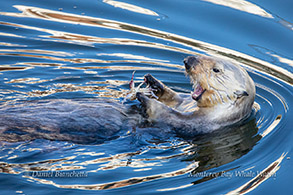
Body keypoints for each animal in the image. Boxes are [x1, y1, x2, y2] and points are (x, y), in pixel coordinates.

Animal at [0, 54, 253, 142]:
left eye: (216, 70)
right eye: (203, 55)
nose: (188, 61)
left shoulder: (202, 126)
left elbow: (171, 118)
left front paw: (144, 98)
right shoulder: (185, 102)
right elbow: (174, 100)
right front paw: (153, 84)